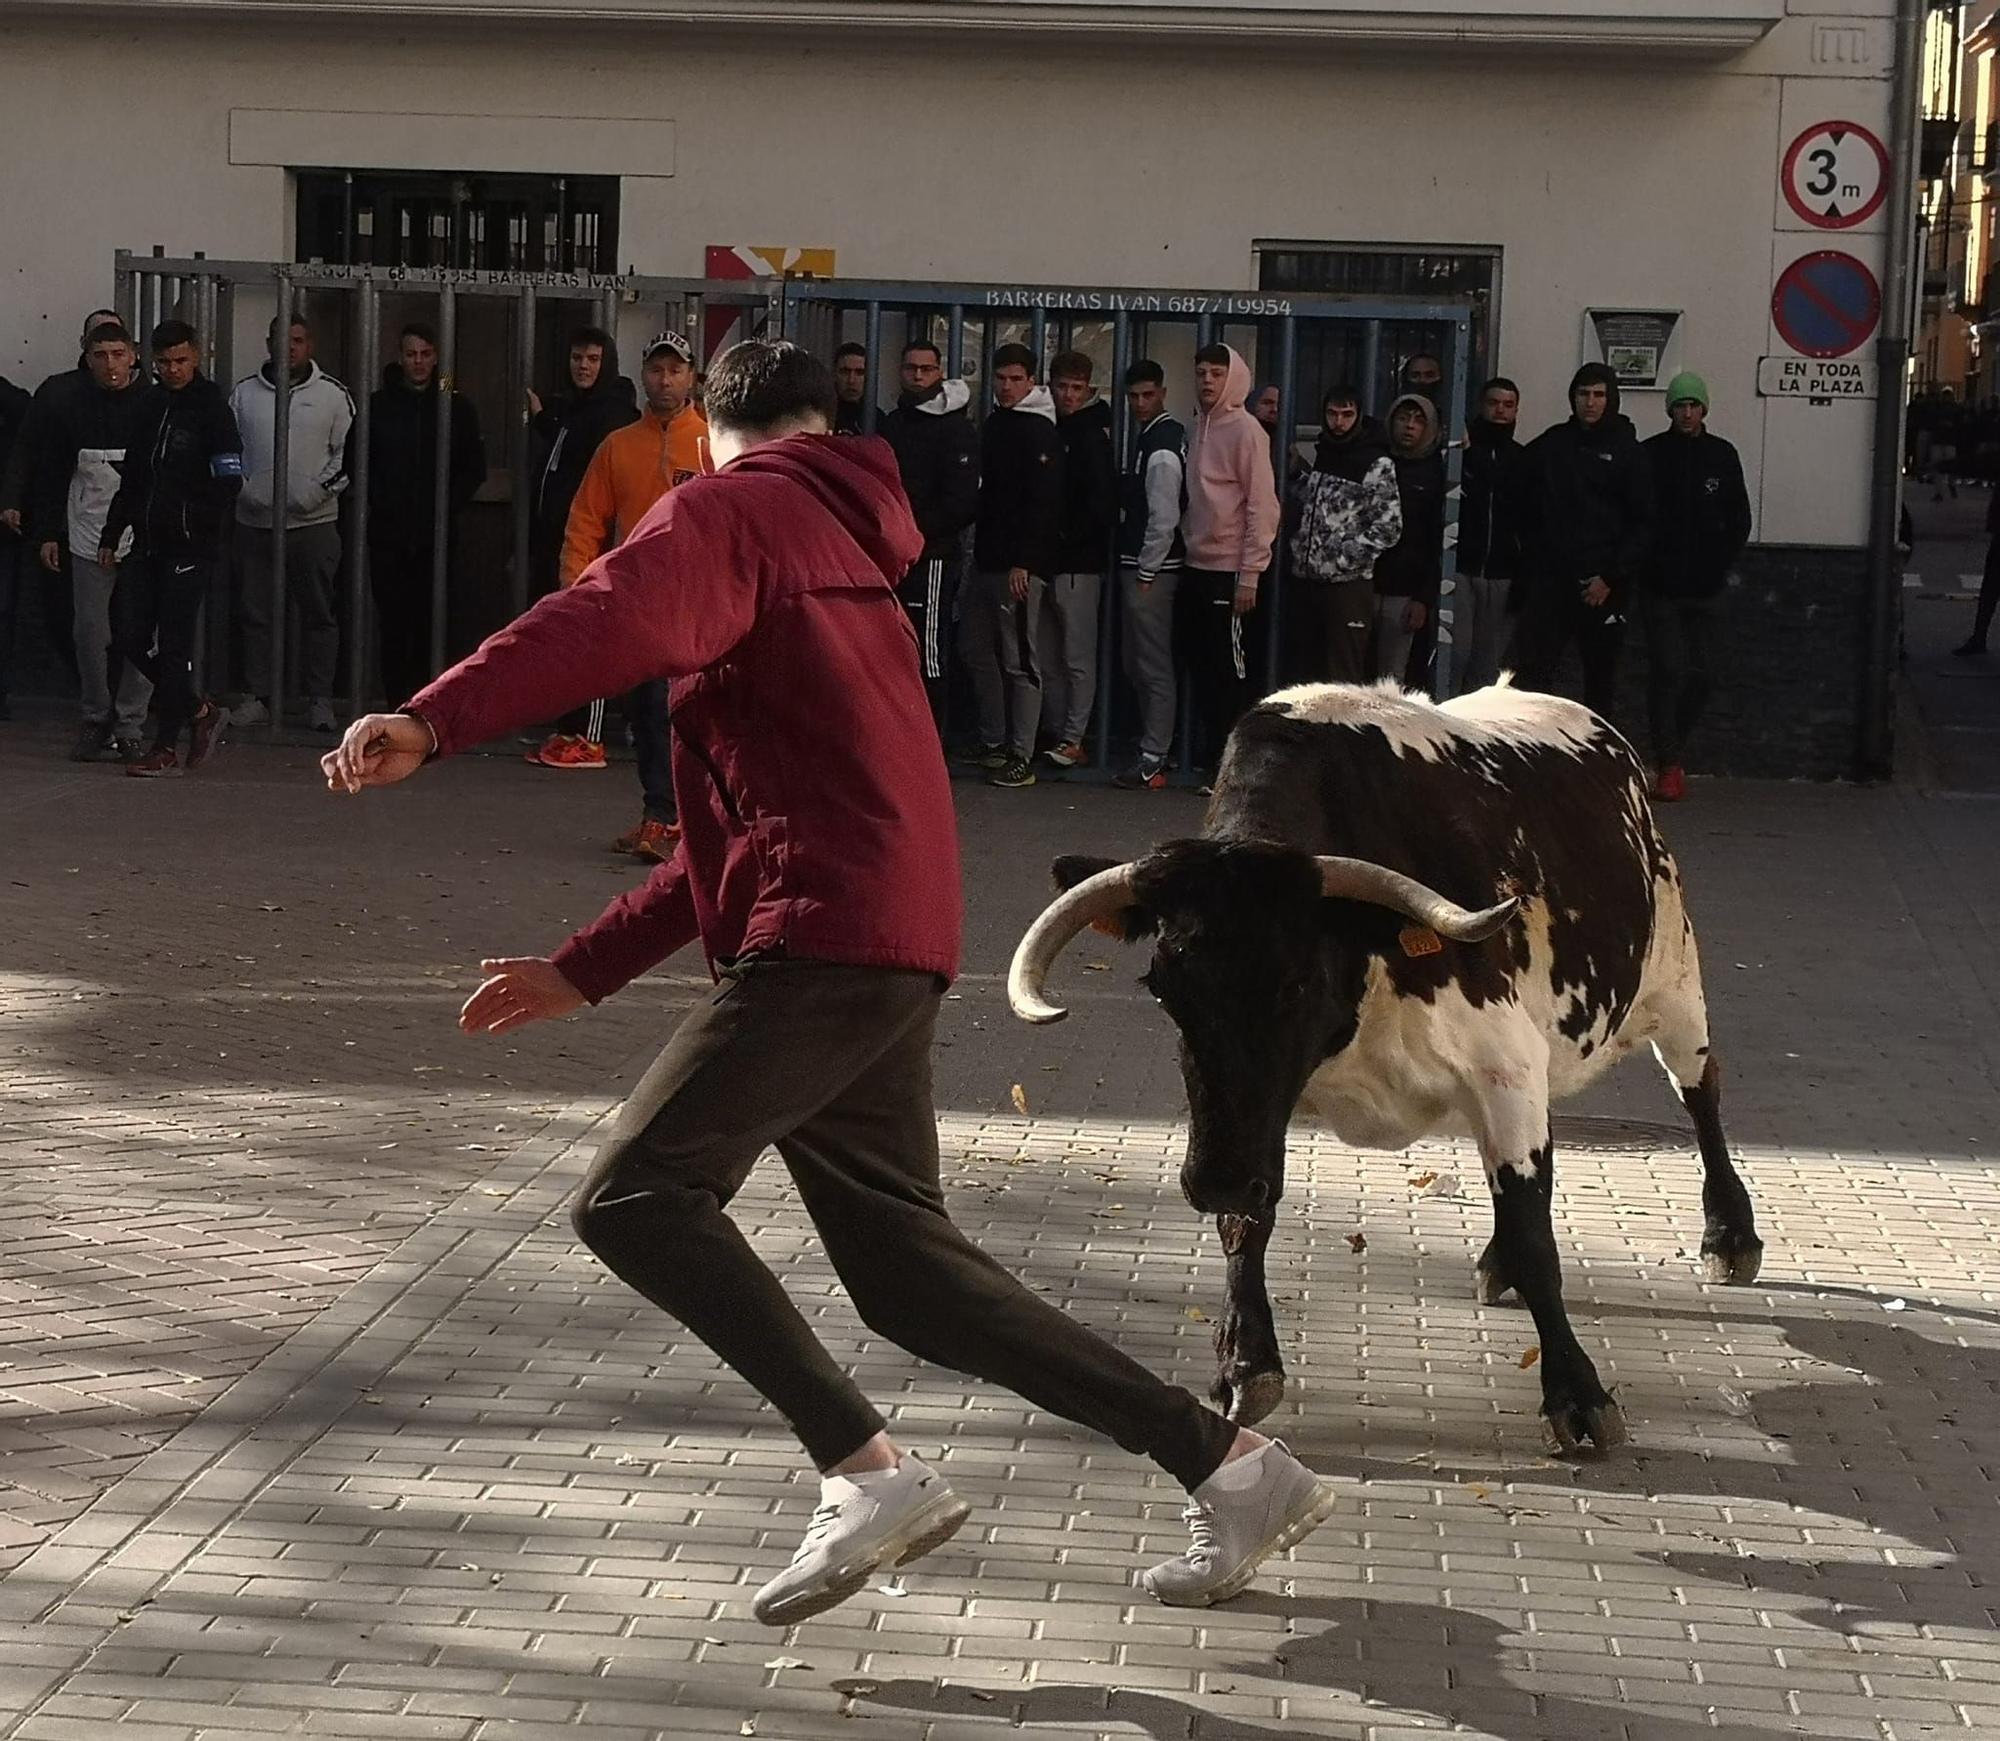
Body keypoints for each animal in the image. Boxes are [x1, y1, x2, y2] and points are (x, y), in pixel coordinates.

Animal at [1008, 680, 1760, 1456]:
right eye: (1162, 986)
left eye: (1297, 982)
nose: (1211, 1179)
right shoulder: (1253, 1114)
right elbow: (1248, 1218)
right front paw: (1246, 1365)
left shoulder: (1505, 1068)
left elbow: (1534, 1229)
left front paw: (1578, 1395)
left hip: (1676, 981)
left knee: (1700, 1093)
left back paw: (1730, 1236)